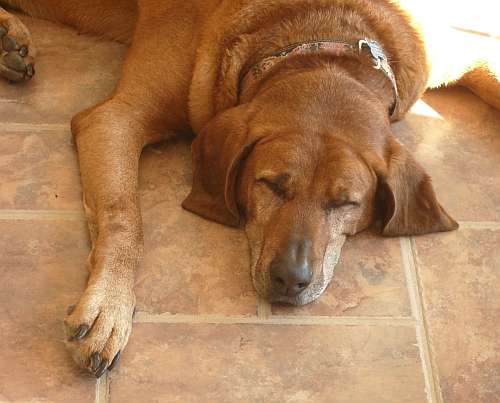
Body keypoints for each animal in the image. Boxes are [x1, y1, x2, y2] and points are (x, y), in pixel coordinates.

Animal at [0, 0, 500, 378]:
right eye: (270, 184)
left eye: (346, 202)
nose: (290, 281)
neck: (320, 33)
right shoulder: (114, 119)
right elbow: (126, 219)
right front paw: (109, 307)